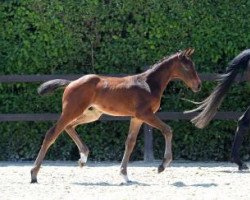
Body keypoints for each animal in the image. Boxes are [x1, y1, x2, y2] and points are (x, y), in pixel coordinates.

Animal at [30, 48, 201, 183]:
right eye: (187, 67)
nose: (198, 85)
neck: (149, 83)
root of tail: (71, 83)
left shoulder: (137, 118)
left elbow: (130, 142)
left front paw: (124, 174)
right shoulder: (145, 114)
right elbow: (167, 130)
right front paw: (162, 165)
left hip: (92, 114)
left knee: (69, 126)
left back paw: (83, 157)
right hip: (72, 110)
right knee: (52, 133)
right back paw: (34, 174)